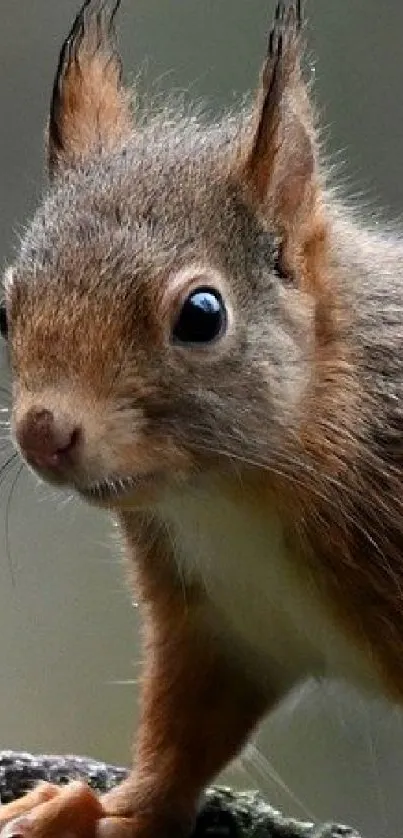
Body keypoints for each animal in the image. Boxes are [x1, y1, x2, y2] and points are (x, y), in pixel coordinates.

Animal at [0, 0, 403, 836]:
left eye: (202, 314)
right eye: (3, 308)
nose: (44, 434)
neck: (229, 495)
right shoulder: (220, 623)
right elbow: (185, 731)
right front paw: (98, 810)